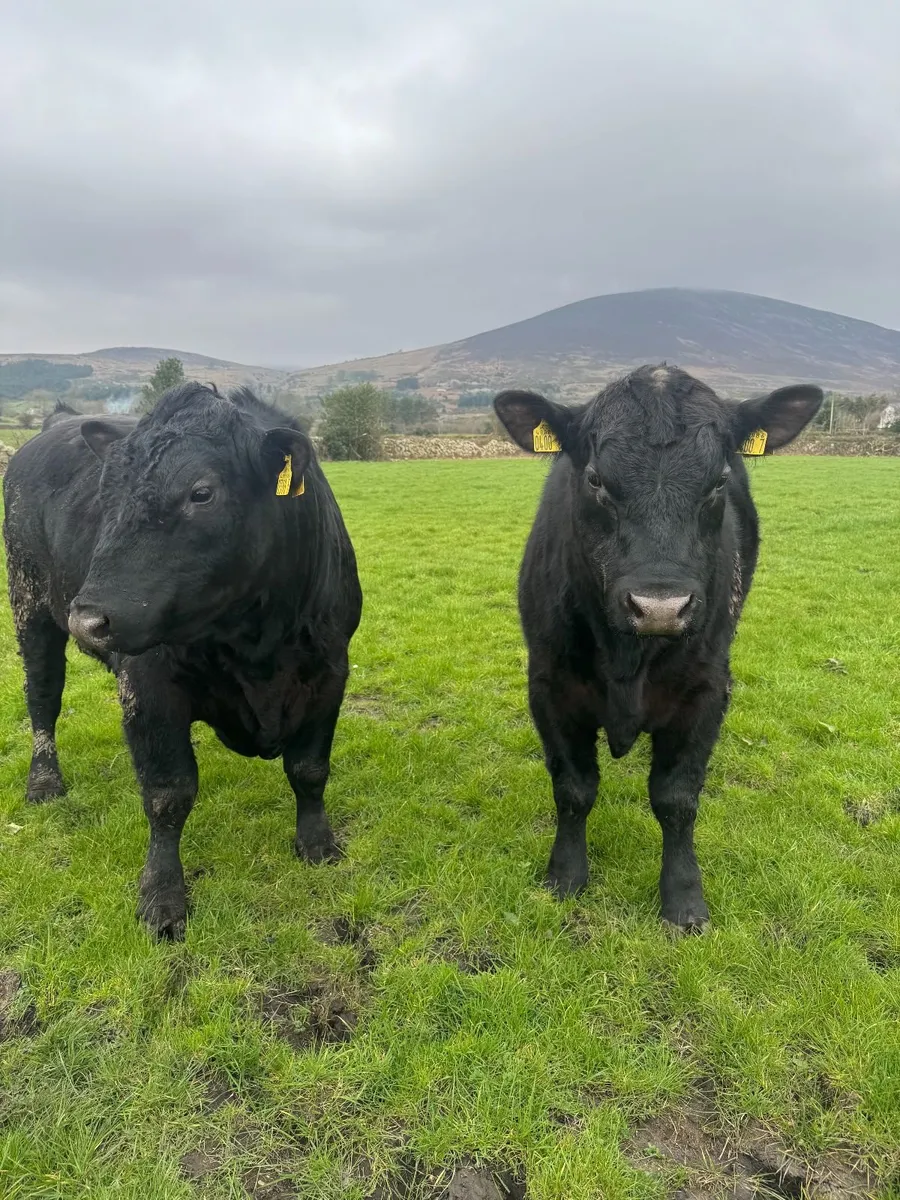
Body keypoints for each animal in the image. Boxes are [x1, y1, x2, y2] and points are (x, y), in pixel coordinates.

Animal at [3, 383, 362, 940]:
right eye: (106, 492)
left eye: (201, 493)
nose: (89, 619)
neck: (260, 641)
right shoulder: (149, 688)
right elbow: (167, 793)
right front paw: (162, 896)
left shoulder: (329, 671)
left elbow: (309, 768)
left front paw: (317, 844)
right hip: (30, 604)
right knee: (43, 696)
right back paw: (44, 782)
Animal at [493, 365, 822, 931]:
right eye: (595, 479)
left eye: (719, 481)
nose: (661, 607)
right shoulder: (550, 685)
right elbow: (573, 788)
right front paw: (566, 876)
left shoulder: (708, 690)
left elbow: (676, 798)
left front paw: (684, 899)